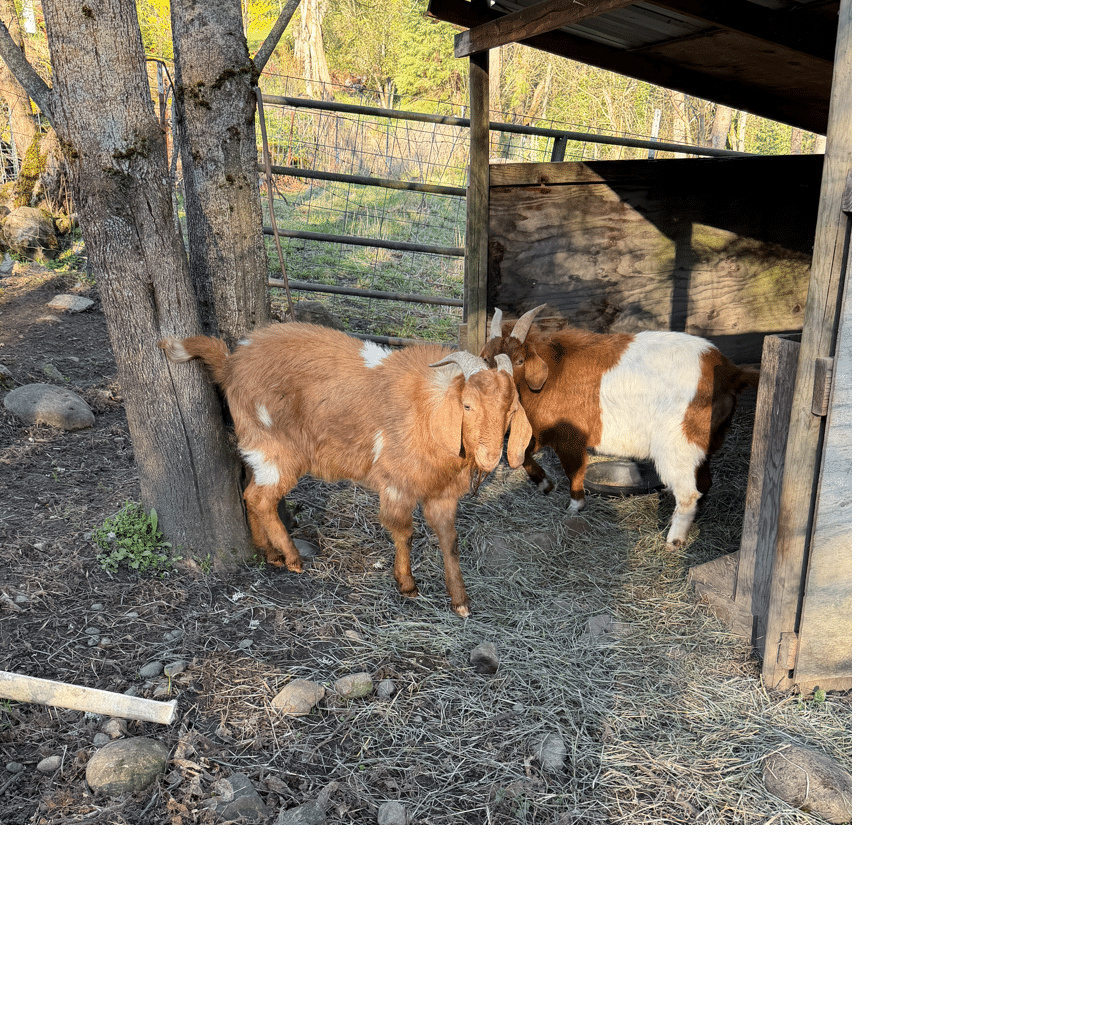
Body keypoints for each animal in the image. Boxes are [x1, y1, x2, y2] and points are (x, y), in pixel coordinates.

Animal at [159, 322, 532, 617]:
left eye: (511, 409)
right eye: (467, 405)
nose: (490, 457)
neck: (428, 411)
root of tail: (230, 363)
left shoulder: (442, 493)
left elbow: (449, 540)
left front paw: (460, 602)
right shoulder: (396, 484)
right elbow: (404, 532)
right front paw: (407, 585)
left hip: (257, 450)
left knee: (249, 491)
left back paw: (270, 553)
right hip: (277, 450)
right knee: (261, 499)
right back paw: (292, 559)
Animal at [481, 306, 759, 548]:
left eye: (519, 360)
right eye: (486, 358)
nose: (493, 390)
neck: (553, 370)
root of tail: (730, 372)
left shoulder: (570, 437)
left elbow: (574, 472)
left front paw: (575, 506)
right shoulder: (547, 432)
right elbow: (520, 456)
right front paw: (544, 484)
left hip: (678, 445)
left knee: (690, 492)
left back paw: (674, 540)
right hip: (700, 445)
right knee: (704, 482)